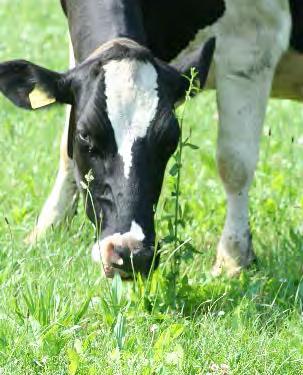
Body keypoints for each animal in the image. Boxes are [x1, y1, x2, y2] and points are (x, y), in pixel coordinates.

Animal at [0, 0, 302, 280]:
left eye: (170, 139)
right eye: (85, 134)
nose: (130, 252)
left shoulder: (249, 51)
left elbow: (235, 164)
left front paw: (233, 260)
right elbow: (66, 150)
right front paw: (45, 230)